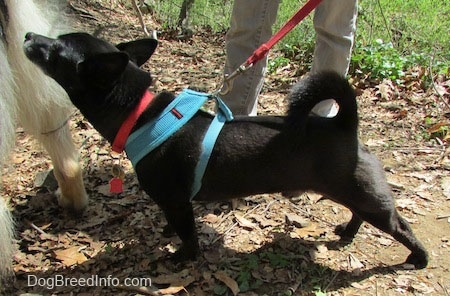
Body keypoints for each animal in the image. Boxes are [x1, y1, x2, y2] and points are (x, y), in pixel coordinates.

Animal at [23, 31, 428, 268]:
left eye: (55, 49)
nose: (28, 34)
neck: (139, 115)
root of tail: (345, 123)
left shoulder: (177, 202)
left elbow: (189, 235)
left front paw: (182, 258)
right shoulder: (173, 204)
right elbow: (174, 225)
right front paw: (168, 235)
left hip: (367, 197)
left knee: (399, 224)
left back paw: (417, 257)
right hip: (351, 191)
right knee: (359, 213)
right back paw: (348, 231)